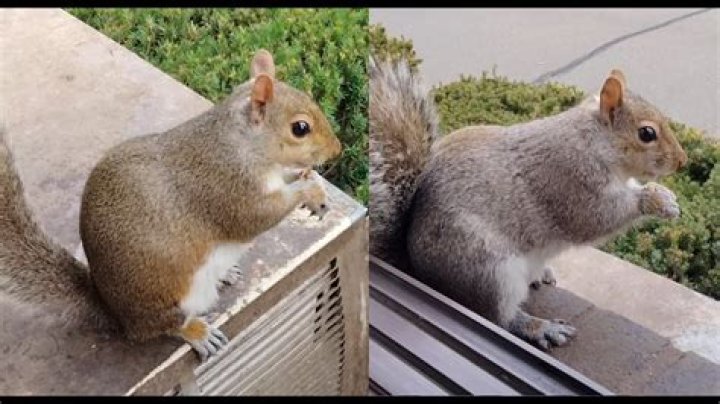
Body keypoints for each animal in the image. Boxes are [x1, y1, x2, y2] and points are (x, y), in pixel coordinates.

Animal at [0, 49, 342, 361]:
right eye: (300, 128)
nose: (337, 150)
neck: (241, 142)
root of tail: (113, 310)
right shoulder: (228, 188)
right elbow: (257, 217)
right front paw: (308, 189)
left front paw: (315, 187)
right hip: (164, 297)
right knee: (162, 327)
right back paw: (197, 332)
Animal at [369, 57, 687, 350]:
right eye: (646, 133)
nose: (682, 161)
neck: (595, 141)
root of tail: (415, 266)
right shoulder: (569, 179)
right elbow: (597, 217)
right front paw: (654, 199)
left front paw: (665, 196)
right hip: (487, 269)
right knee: (499, 318)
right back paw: (539, 327)